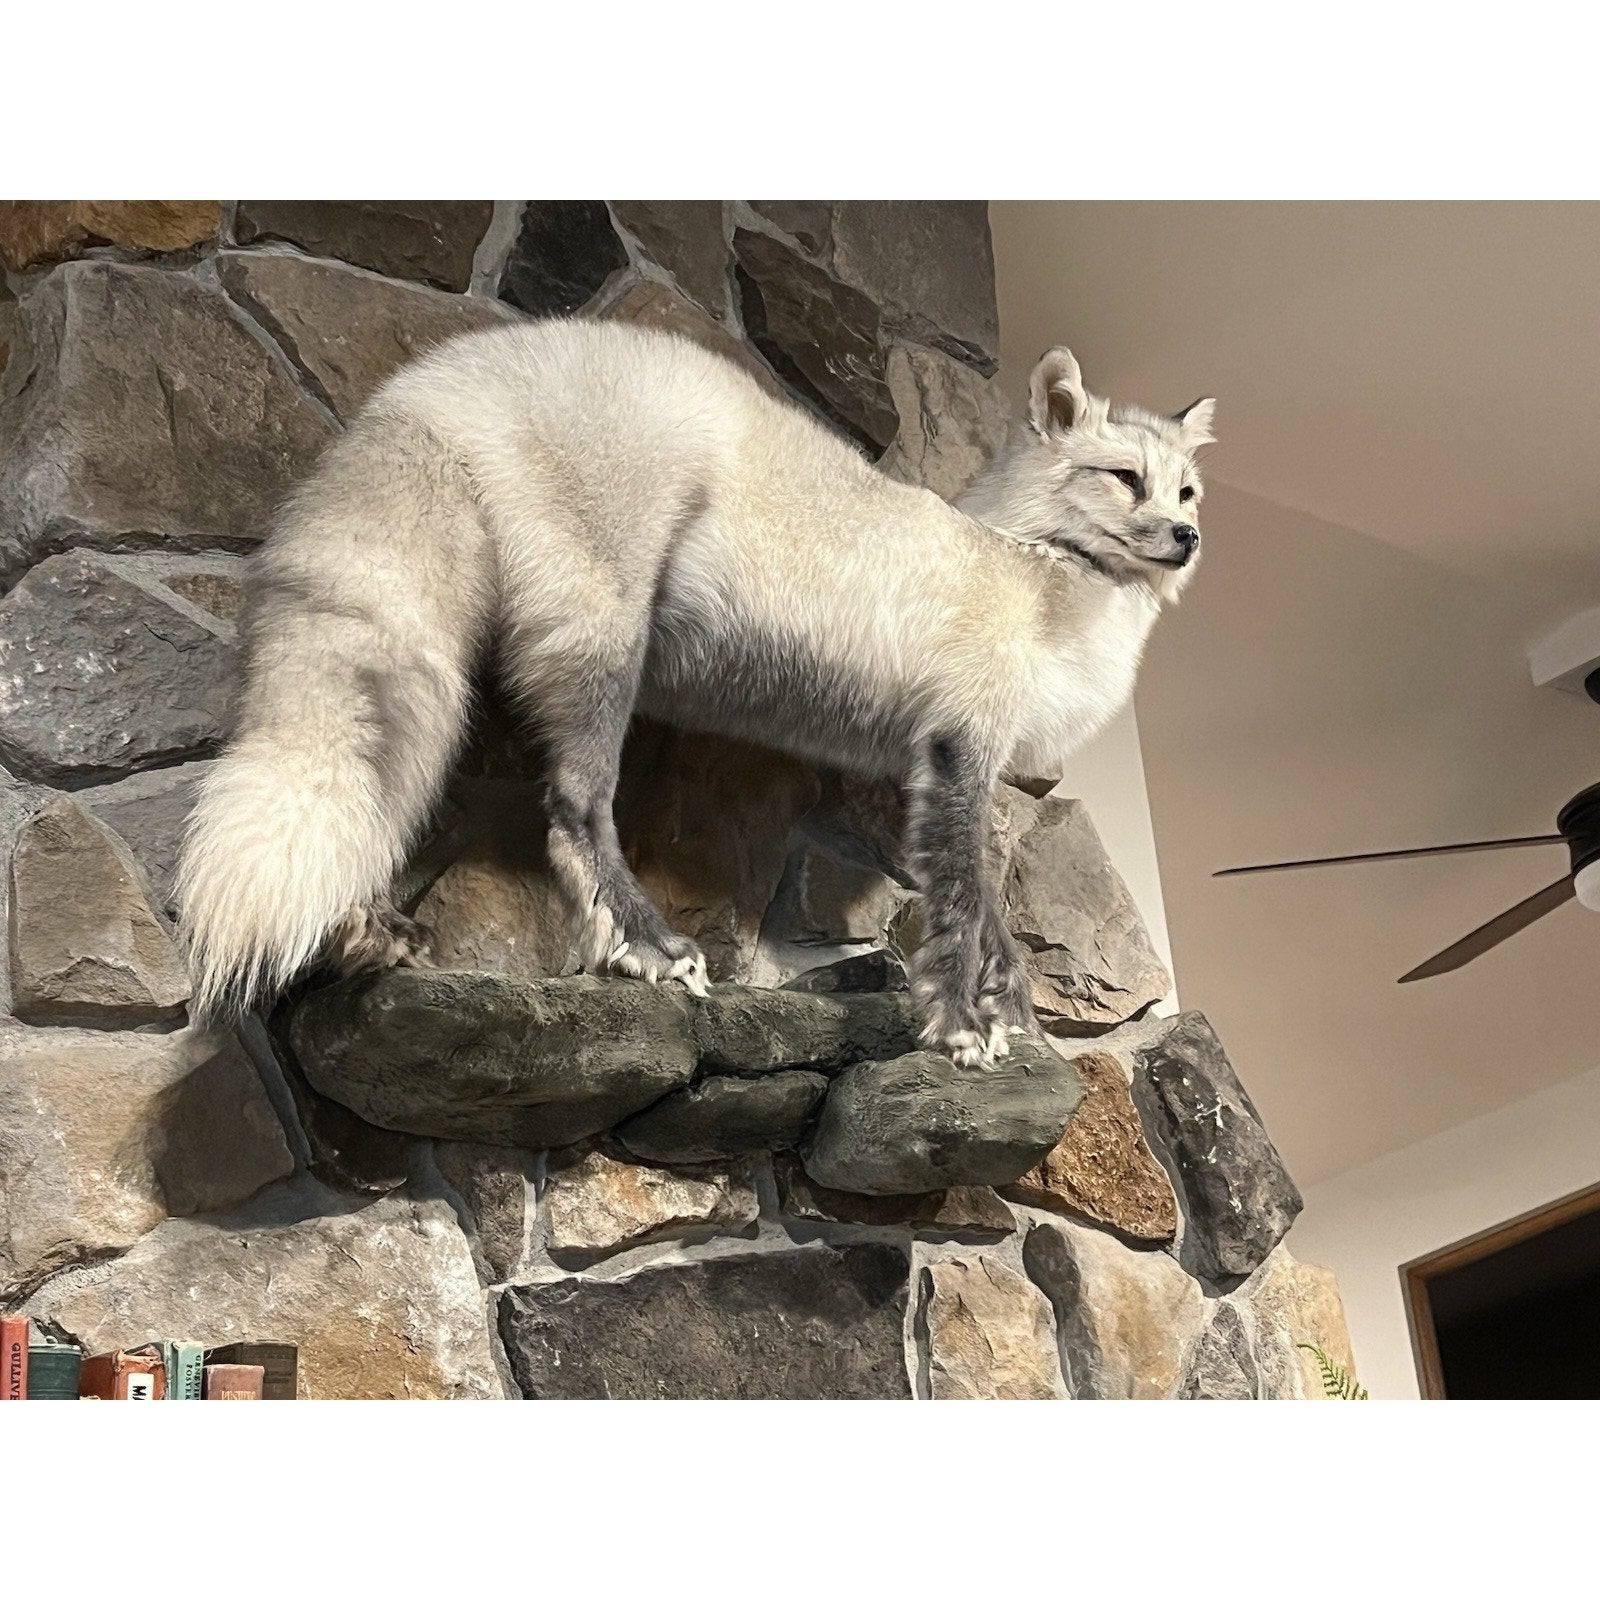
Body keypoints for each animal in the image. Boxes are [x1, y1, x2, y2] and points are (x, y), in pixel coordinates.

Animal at [177, 317, 1213, 1067]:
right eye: (1124, 480)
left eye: (1188, 491)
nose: (1186, 540)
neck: (1038, 577)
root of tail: (436, 375)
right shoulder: (960, 750)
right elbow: (960, 911)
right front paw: (960, 1029)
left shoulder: (934, 770)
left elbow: (995, 918)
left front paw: (1021, 1025)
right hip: (603, 649)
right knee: (573, 812)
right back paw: (652, 948)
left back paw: (366, 934)